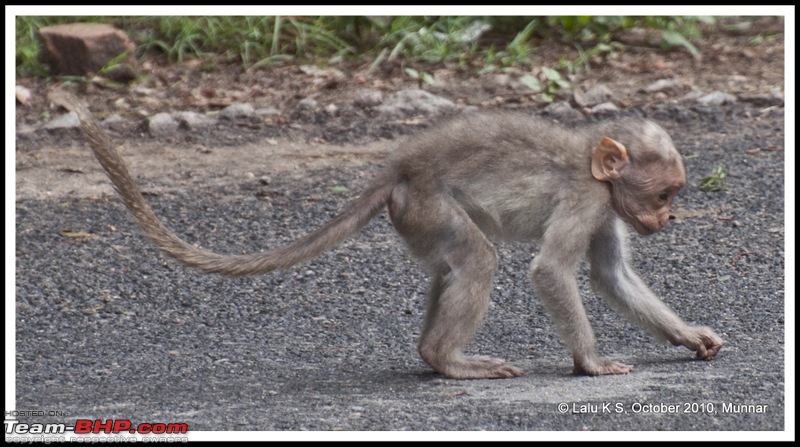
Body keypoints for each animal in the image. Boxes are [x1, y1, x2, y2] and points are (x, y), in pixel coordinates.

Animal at [75, 102, 724, 382]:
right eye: (664, 193)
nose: (668, 217)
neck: (595, 168)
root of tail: (399, 169)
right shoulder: (588, 199)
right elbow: (550, 272)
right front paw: (588, 362)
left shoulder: (608, 209)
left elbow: (610, 278)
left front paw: (689, 337)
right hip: (427, 203)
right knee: (478, 259)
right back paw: (448, 361)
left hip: (415, 218)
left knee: (453, 266)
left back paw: (431, 356)